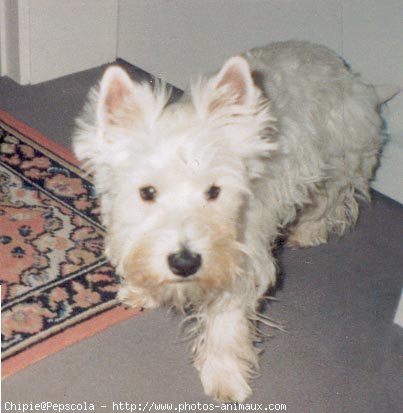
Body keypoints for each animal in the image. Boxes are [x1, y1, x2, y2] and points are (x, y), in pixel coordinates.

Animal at [72, 40, 398, 400]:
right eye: (147, 192)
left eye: (214, 191)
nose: (185, 263)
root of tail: (351, 76)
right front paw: (143, 290)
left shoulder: (244, 256)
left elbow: (226, 321)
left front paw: (224, 377)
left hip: (339, 160)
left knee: (335, 199)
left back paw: (308, 231)